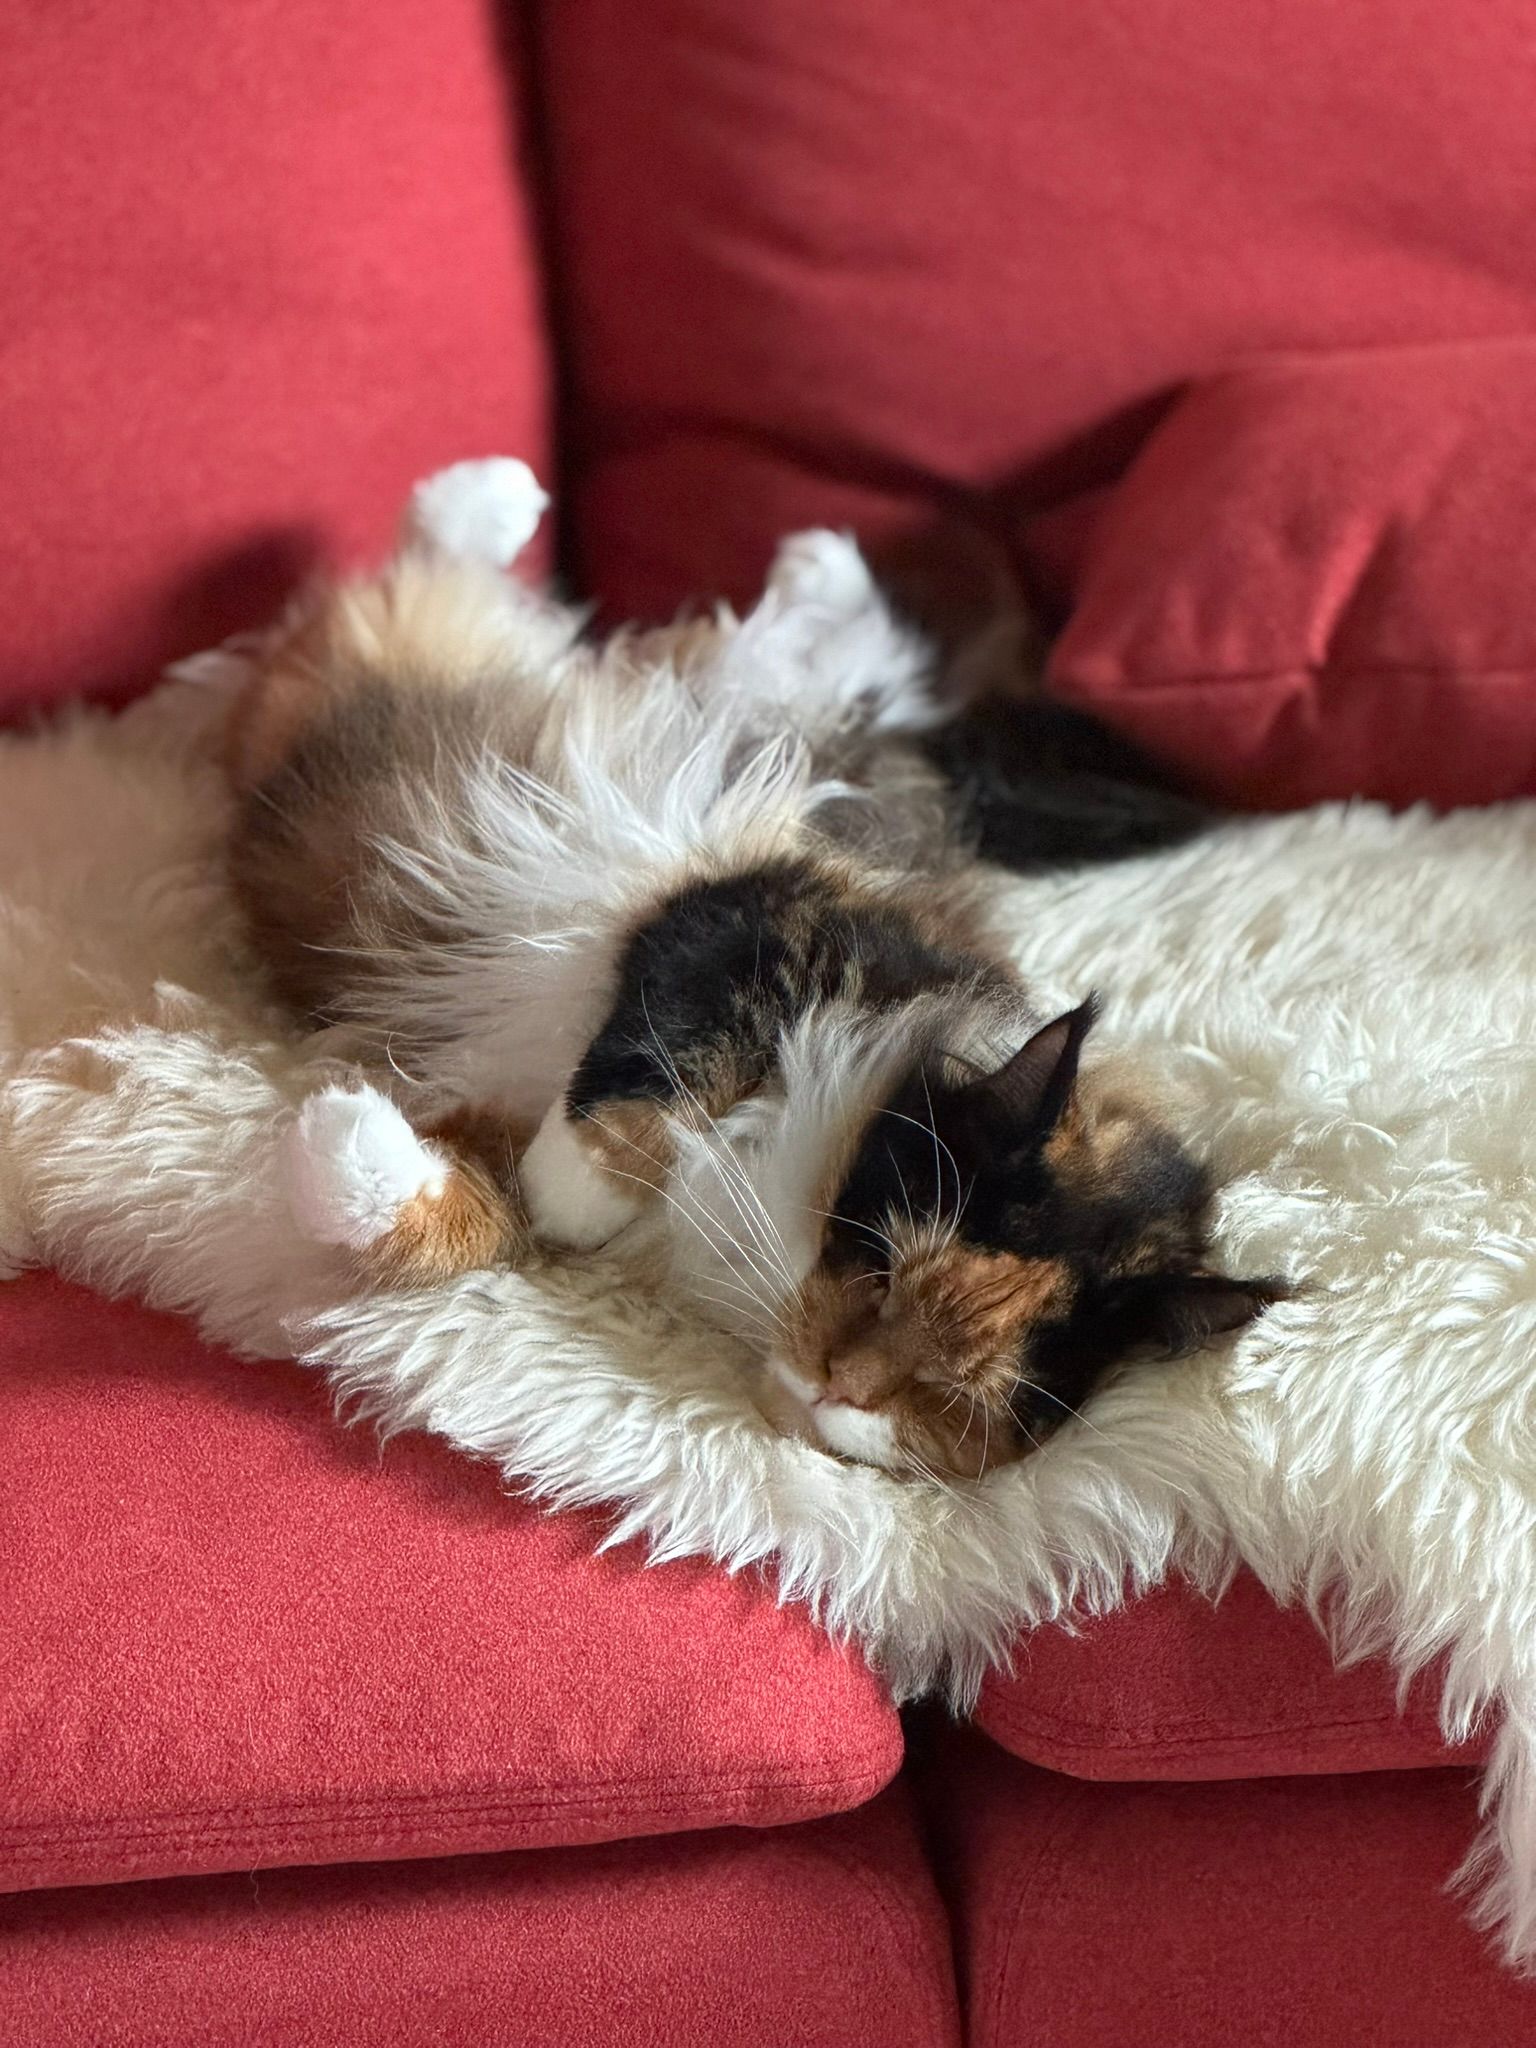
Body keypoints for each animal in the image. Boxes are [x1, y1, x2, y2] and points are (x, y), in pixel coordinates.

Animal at [224, 460, 1283, 1481]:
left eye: (951, 1396)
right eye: (883, 1272)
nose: (841, 1384)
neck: (776, 1178)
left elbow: (467, 1216)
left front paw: (336, 1141)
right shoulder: (753, 921)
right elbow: (656, 1081)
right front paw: (573, 1184)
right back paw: (533, 501)